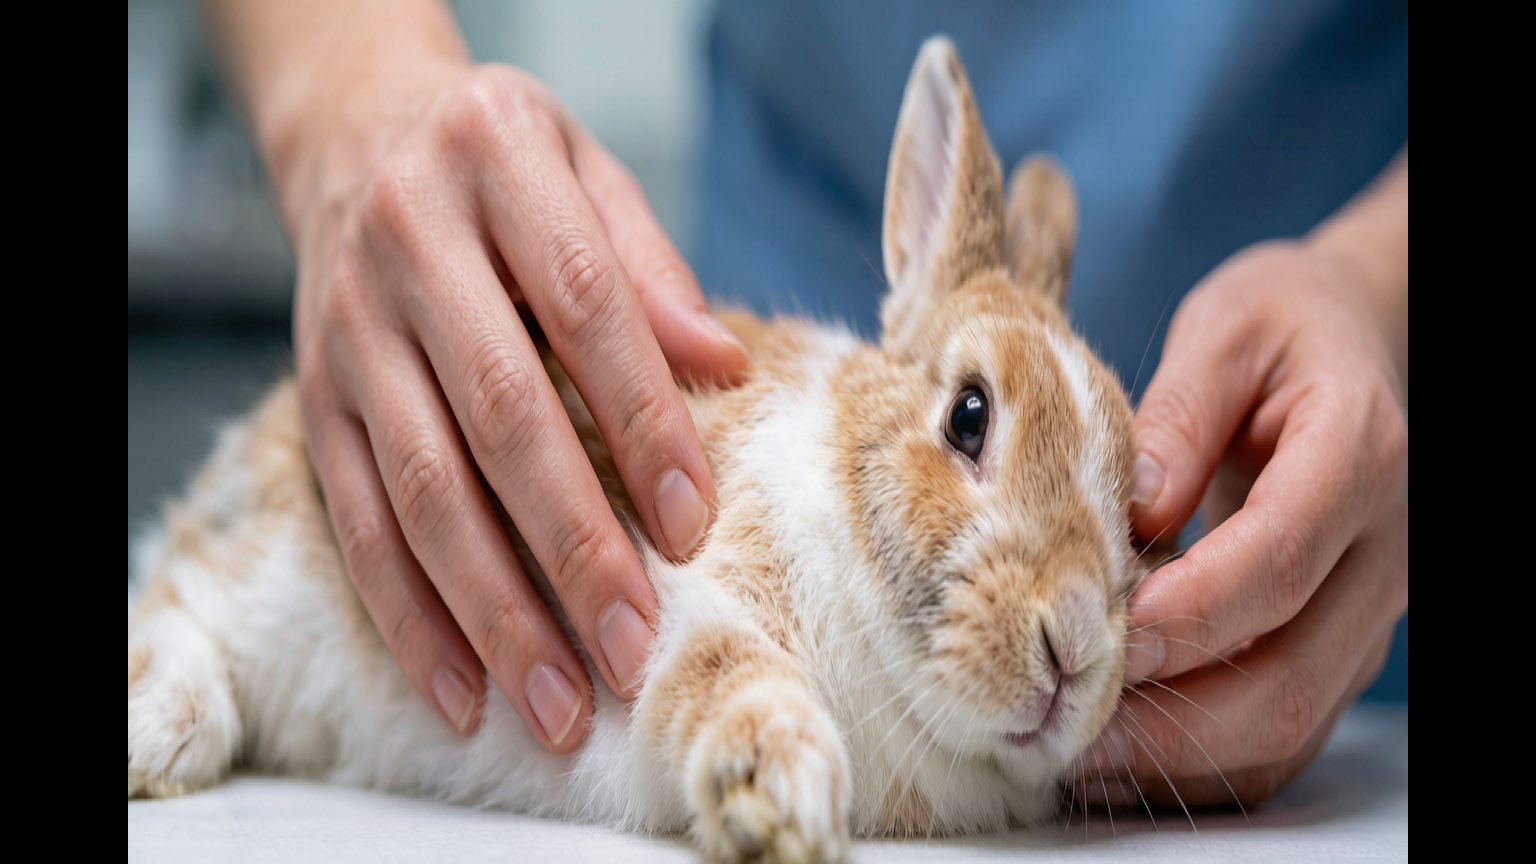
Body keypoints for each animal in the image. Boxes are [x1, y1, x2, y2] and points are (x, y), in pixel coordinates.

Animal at [127, 37, 1141, 863]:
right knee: (178, 597)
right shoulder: (674, 601)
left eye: (1135, 515)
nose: (1076, 643)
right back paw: (160, 729)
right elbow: (726, 672)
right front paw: (785, 796)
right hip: (270, 565)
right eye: (970, 415)